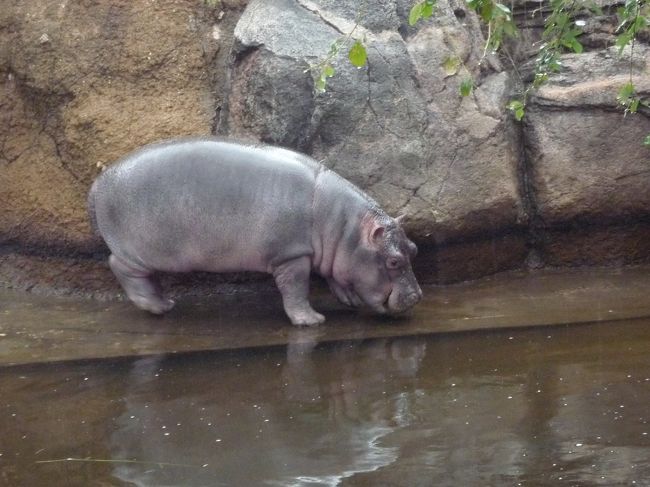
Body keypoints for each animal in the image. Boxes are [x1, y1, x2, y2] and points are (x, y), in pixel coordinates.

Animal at [87, 139, 420, 326]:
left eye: (414, 249)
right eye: (393, 261)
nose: (417, 296)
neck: (343, 226)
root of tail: (98, 182)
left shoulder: (330, 253)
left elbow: (336, 275)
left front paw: (349, 300)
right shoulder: (291, 255)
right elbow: (296, 289)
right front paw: (311, 321)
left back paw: (164, 302)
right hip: (136, 251)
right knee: (121, 267)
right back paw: (157, 308)